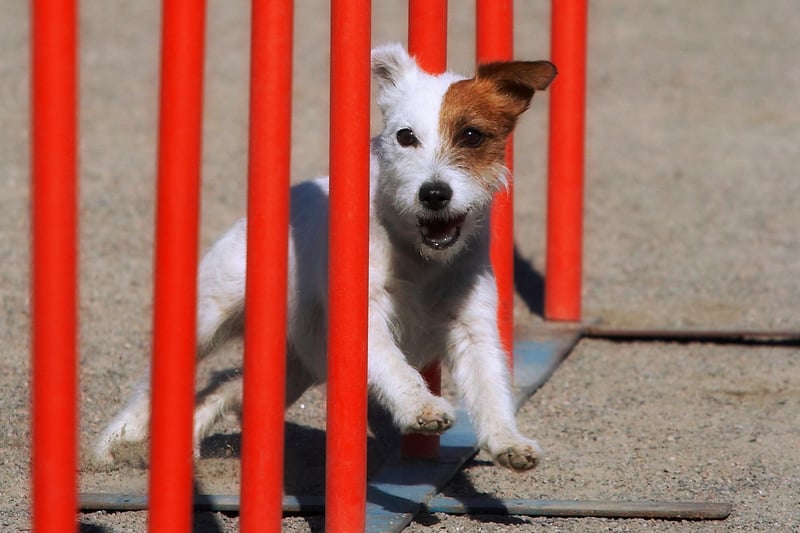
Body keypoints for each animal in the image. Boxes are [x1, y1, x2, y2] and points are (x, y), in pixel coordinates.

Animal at [98, 44, 556, 470]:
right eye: (405, 136)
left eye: (473, 135)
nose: (434, 194)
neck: (417, 254)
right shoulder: (361, 318)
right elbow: (394, 366)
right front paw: (421, 406)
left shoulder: (473, 328)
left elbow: (490, 386)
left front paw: (508, 440)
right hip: (210, 316)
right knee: (156, 380)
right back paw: (118, 440)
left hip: (295, 365)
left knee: (223, 387)